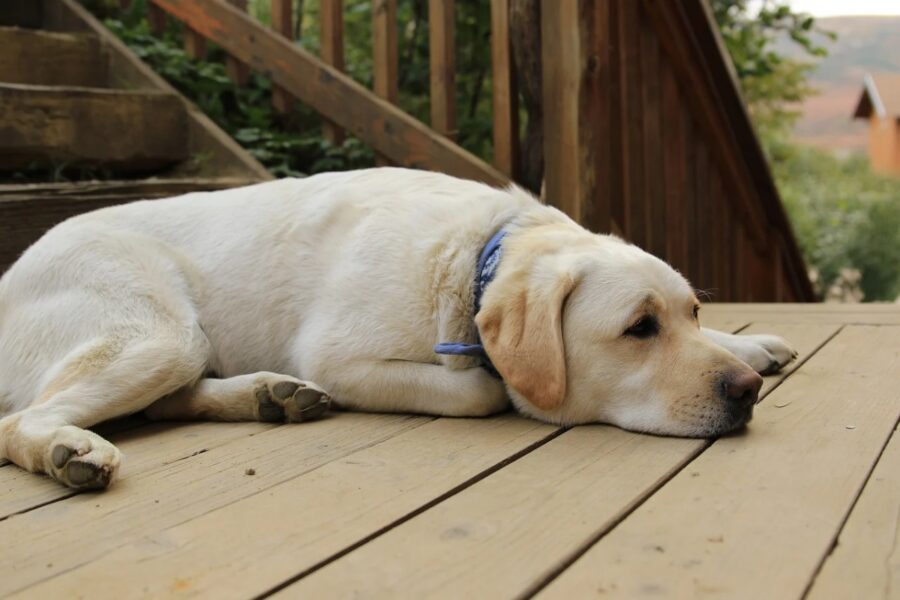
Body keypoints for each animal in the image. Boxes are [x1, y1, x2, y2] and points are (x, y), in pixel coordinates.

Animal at [0, 168, 800, 488]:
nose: (746, 393)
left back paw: (268, 395)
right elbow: (482, 388)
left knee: (170, 400)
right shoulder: (338, 355)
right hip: (159, 332)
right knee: (21, 422)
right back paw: (70, 451)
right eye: (638, 328)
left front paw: (751, 342)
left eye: (690, 312)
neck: (479, 256)